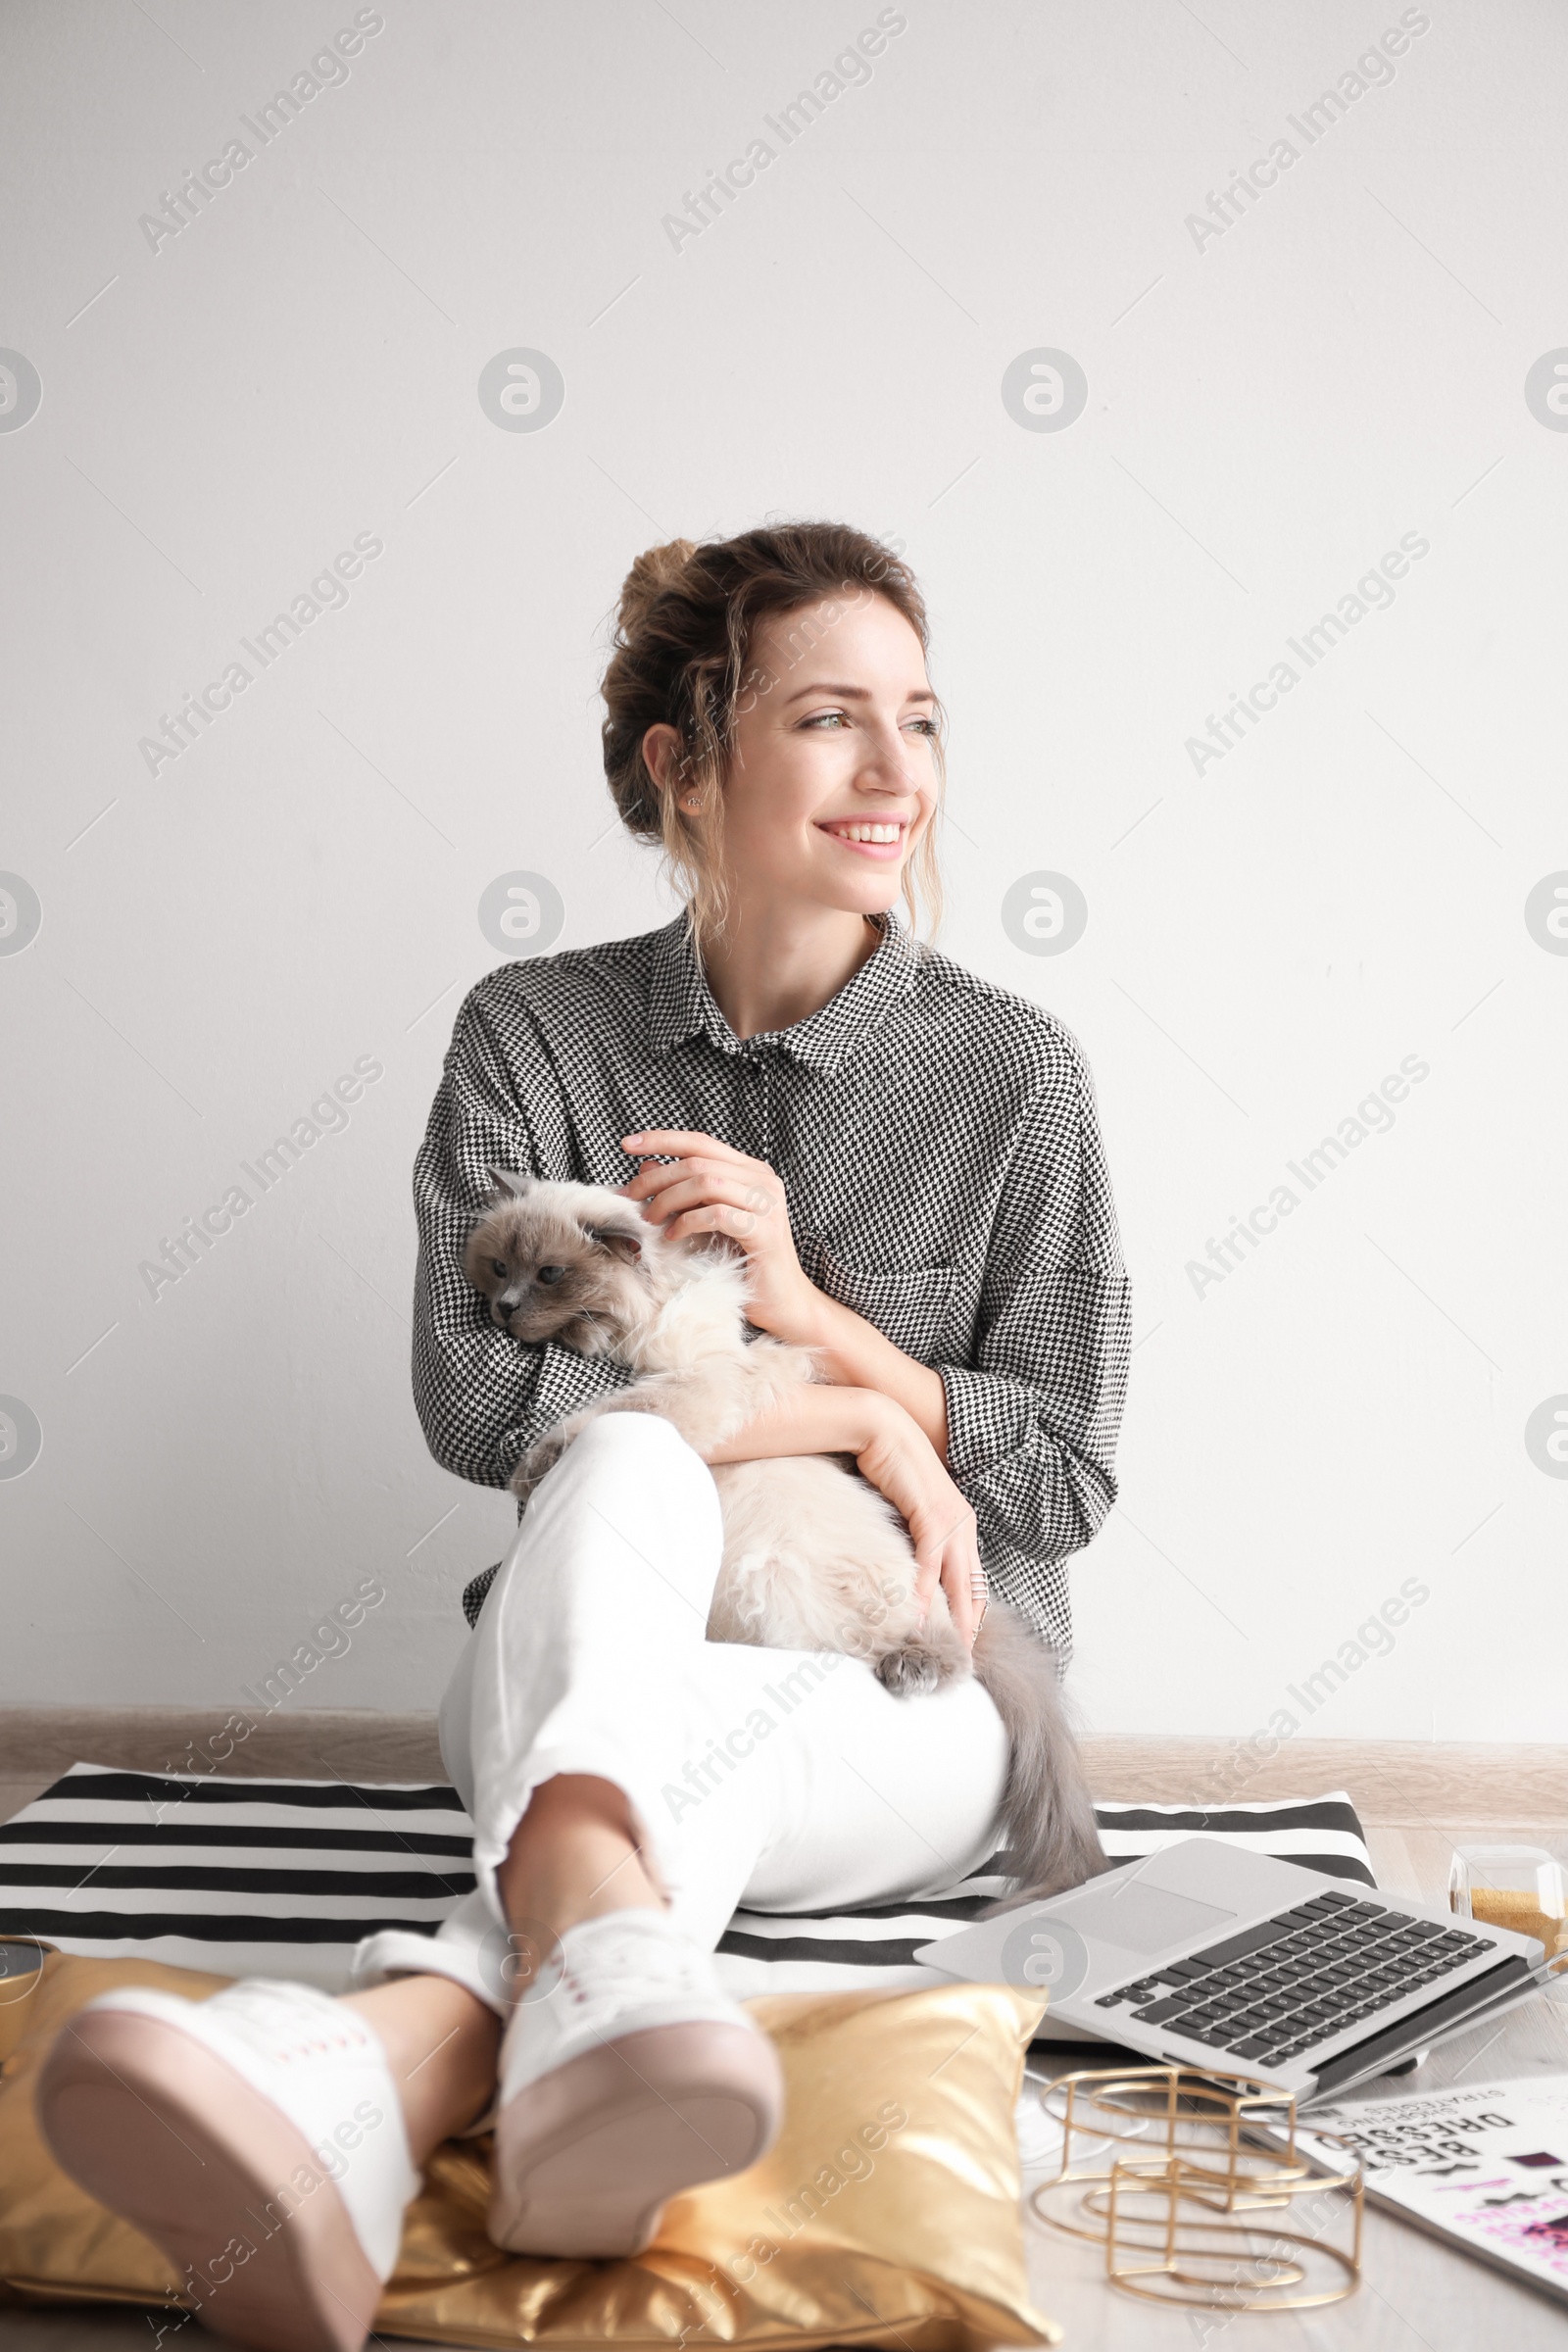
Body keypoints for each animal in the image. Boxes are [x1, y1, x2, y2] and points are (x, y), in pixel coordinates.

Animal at [461, 1166, 1109, 1900]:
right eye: (499, 1267)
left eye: (549, 1274)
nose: (504, 1308)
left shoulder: (696, 1383)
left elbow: (604, 1411)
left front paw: (532, 1469)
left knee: (943, 1653)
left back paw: (910, 1670)